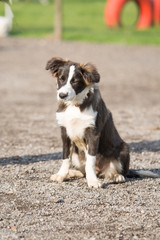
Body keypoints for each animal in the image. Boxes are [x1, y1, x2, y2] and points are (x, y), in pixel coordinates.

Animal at [46, 56, 159, 188]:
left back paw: (117, 177)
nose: (62, 95)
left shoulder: (93, 134)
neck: (75, 104)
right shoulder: (65, 133)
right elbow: (65, 158)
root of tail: (100, 171)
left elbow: (90, 161)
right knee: (82, 172)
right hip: (76, 154)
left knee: (119, 172)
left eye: (75, 81)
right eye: (61, 79)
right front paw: (61, 175)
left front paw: (92, 181)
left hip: (124, 149)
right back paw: (72, 173)